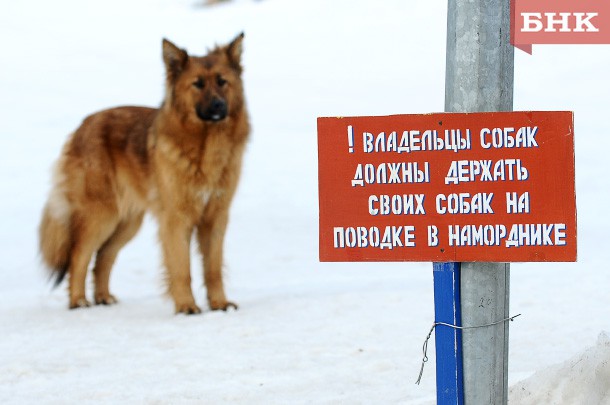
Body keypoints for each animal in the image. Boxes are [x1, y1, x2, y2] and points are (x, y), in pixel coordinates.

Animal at [39, 34, 248, 312]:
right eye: (197, 84)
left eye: (222, 82)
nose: (218, 106)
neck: (205, 147)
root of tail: (81, 126)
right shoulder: (176, 220)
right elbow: (181, 268)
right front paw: (186, 307)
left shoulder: (216, 218)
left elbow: (212, 268)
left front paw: (219, 304)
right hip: (101, 216)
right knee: (79, 255)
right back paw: (78, 301)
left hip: (127, 222)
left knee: (103, 255)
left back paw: (103, 297)